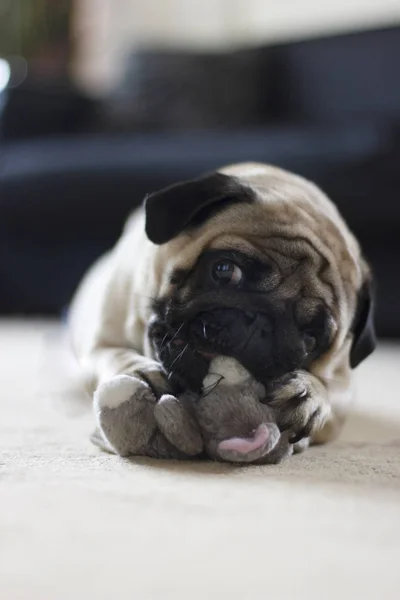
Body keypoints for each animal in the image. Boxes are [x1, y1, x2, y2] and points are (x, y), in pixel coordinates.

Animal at [69, 162, 376, 458]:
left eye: (310, 338)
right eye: (225, 270)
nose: (258, 325)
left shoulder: (343, 385)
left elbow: (330, 393)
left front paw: (309, 394)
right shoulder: (99, 341)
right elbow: (112, 355)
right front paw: (140, 371)